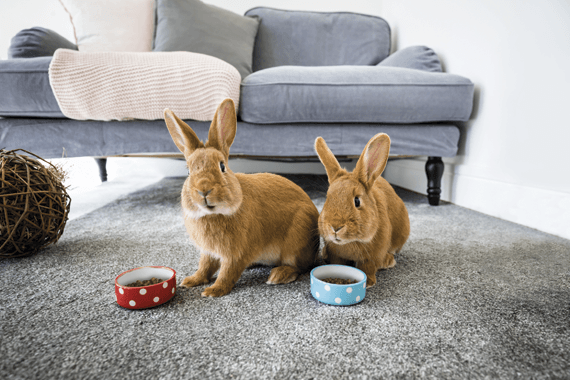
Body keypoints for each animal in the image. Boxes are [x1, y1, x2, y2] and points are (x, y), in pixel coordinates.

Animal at [163, 98, 320, 296]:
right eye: (188, 171)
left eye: (222, 166)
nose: (204, 190)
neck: (213, 214)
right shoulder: (209, 252)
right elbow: (204, 267)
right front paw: (191, 281)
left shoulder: (236, 253)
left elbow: (228, 272)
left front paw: (214, 290)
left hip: (296, 242)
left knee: (300, 266)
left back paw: (279, 275)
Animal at [316, 134, 408, 288]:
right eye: (327, 198)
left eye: (357, 201)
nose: (335, 227)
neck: (351, 242)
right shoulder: (335, 253)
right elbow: (337, 262)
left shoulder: (373, 256)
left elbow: (368, 267)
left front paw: (369, 283)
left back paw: (388, 261)